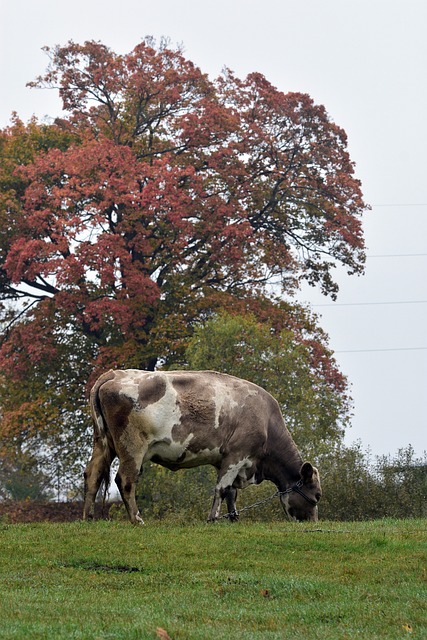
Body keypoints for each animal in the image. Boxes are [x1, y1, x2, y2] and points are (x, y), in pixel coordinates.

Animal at [83, 370, 322, 524]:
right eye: (317, 495)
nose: (313, 522)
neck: (266, 420)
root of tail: (115, 374)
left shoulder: (226, 460)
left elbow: (231, 492)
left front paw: (234, 518)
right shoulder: (236, 455)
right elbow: (221, 489)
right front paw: (213, 518)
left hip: (102, 444)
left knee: (93, 475)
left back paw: (89, 517)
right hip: (132, 448)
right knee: (126, 480)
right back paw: (137, 519)